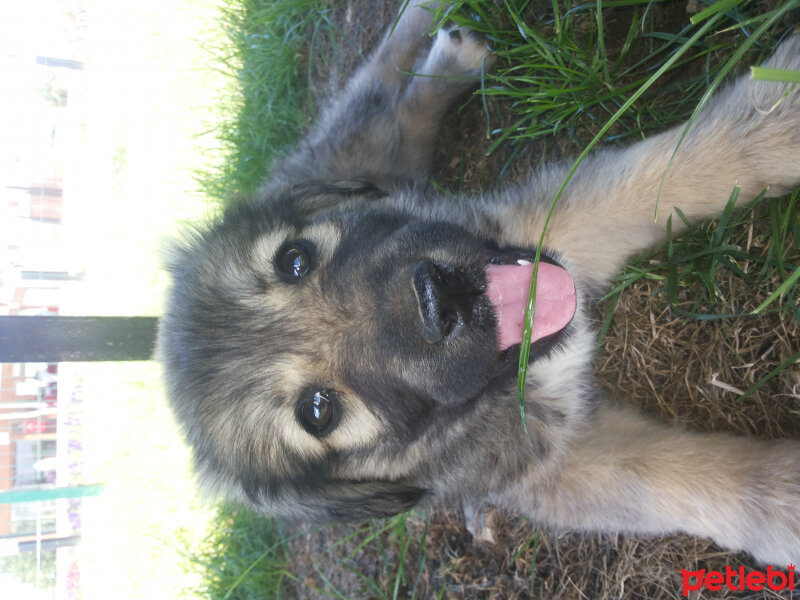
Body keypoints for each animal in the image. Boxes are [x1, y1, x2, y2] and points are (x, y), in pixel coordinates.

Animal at [156, 2, 800, 564]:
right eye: (318, 412)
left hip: (361, 157)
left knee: (382, 90)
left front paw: (778, 119)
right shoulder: (553, 460)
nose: (439, 299)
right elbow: (678, 481)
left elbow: (676, 170)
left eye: (294, 260)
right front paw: (784, 498)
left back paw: (444, 47)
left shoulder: (540, 227)